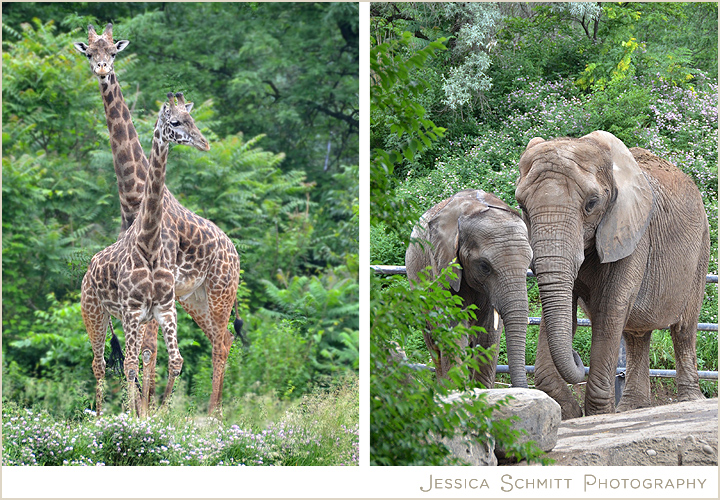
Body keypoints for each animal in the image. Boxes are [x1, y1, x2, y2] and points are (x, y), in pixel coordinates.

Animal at [75, 24, 242, 415]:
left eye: (113, 52)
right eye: (89, 52)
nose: (102, 70)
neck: (134, 196)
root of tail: (235, 252)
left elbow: (148, 357)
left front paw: (145, 411)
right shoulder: (147, 302)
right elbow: (144, 358)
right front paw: (142, 410)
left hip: (220, 291)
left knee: (221, 341)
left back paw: (213, 414)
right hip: (195, 298)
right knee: (223, 338)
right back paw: (210, 410)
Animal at [405, 189, 532, 389]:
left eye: (529, 262)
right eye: (485, 266)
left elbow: (488, 335)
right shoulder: (442, 263)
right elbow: (454, 329)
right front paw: (457, 391)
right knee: (433, 342)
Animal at [514, 130, 709, 419]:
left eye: (591, 204)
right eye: (522, 206)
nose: (577, 355)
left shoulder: (633, 231)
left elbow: (610, 309)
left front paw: (598, 415)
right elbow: (566, 312)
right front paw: (573, 413)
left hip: (701, 250)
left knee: (684, 329)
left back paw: (689, 400)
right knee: (636, 335)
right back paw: (632, 407)